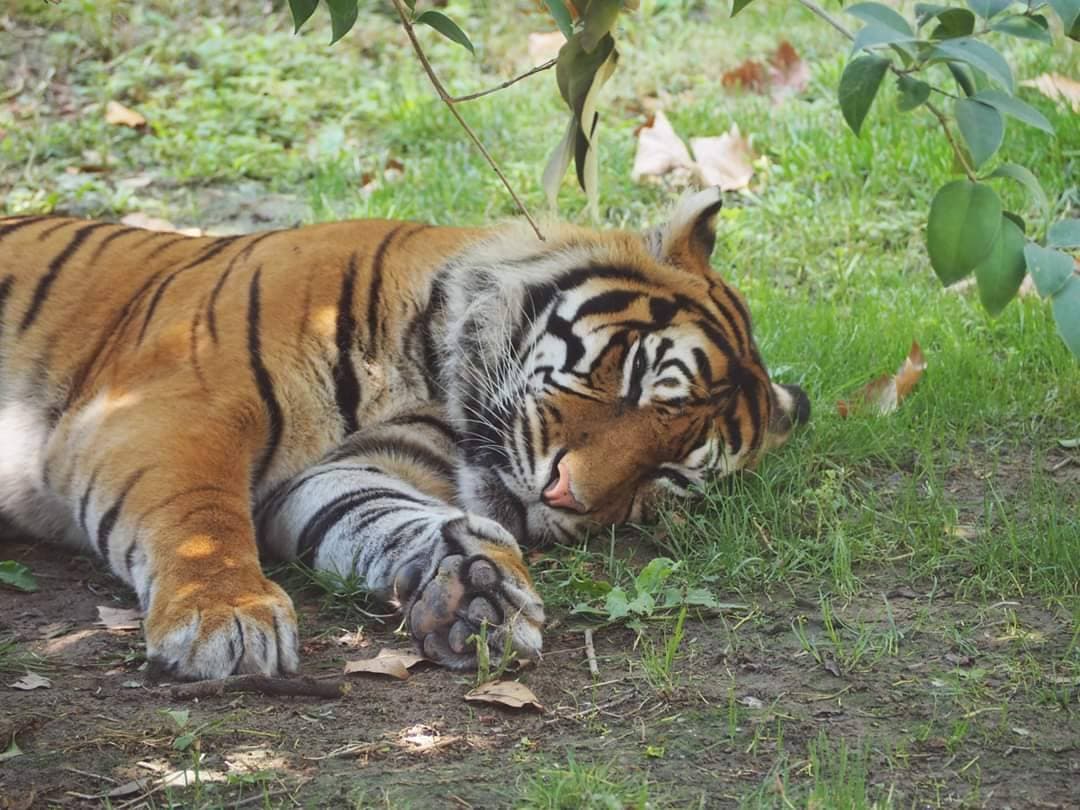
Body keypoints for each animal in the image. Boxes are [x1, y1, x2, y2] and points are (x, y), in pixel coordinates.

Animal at [0, 192, 807, 686]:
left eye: (667, 476)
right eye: (638, 376)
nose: (566, 497)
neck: (431, 374)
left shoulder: (350, 470)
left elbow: (374, 516)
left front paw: (475, 587)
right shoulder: (173, 401)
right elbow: (199, 513)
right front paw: (226, 617)